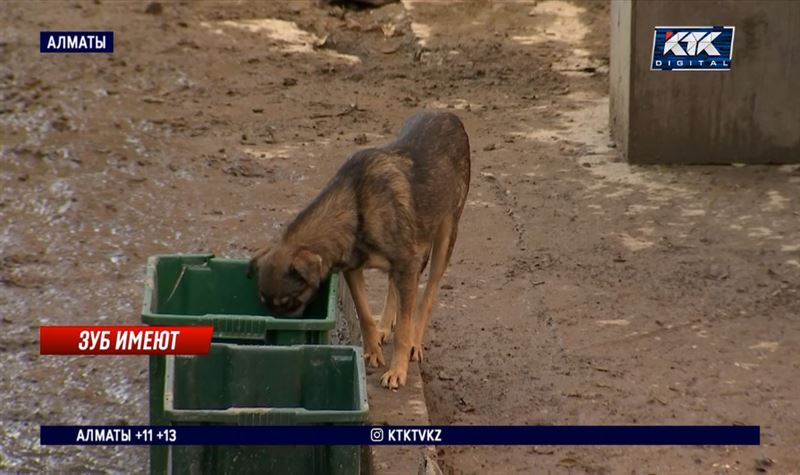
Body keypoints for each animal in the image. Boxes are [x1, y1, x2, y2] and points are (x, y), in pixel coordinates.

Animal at [250, 111, 472, 390]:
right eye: (264, 303)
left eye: (291, 302)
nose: (277, 345)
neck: (356, 208)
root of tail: (449, 115)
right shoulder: (354, 270)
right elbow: (365, 314)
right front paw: (373, 350)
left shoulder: (406, 264)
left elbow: (404, 326)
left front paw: (397, 370)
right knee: (394, 289)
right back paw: (385, 325)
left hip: (445, 234)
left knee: (428, 294)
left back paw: (414, 342)